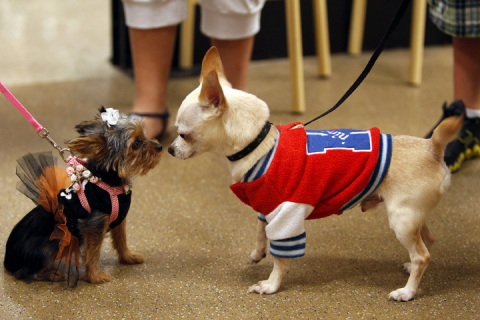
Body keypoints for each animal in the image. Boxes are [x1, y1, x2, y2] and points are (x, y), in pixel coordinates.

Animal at [3, 108, 163, 284]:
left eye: (145, 135)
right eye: (136, 144)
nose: (160, 146)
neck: (109, 181)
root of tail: (7, 261)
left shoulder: (119, 219)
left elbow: (121, 240)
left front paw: (128, 257)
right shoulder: (94, 225)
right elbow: (93, 253)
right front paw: (95, 276)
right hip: (52, 243)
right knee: (25, 273)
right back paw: (52, 274)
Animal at [168, 47, 462, 300]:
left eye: (184, 135)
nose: (170, 149)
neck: (260, 143)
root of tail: (432, 147)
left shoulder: (287, 217)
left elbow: (280, 257)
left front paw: (272, 284)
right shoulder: (266, 206)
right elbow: (261, 230)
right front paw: (257, 253)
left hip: (401, 219)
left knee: (422, 255)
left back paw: (408, 291)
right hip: (412, 216)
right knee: (427, 242)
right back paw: (409, 268)